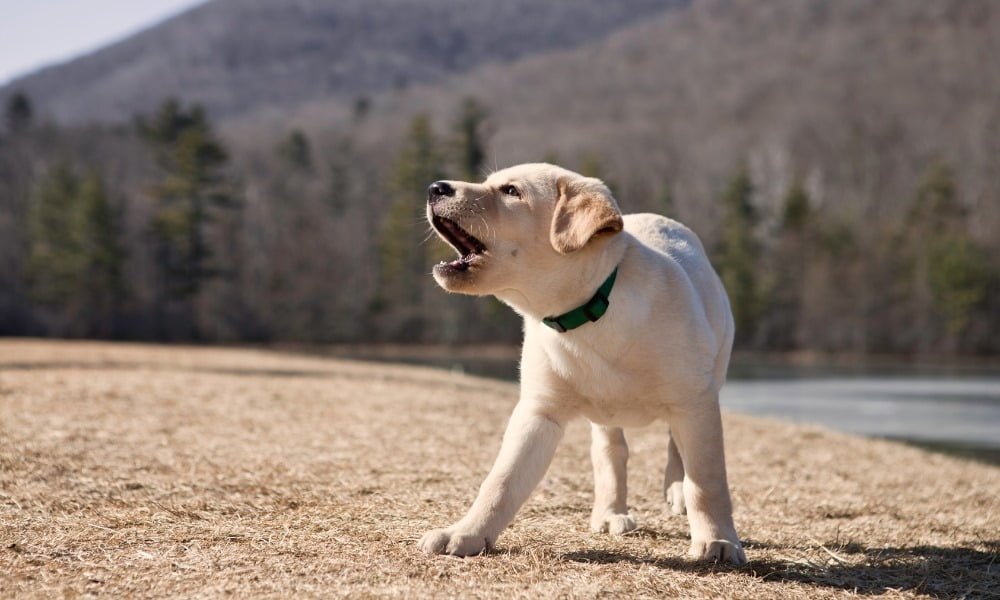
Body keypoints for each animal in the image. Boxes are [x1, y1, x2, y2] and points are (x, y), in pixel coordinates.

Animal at [418, 162, 748, 564]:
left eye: (511, 191)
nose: (435, 187)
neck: (589, 312)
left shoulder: (694, 401)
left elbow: (707, 479)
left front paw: (718, 541)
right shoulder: (539, 411)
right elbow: (501, 481)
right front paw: (466, 534)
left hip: (710, 375)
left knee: (676, 446)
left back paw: (675, 491)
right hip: (607, 416)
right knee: (611, 454)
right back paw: (610, 513)